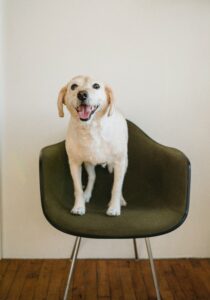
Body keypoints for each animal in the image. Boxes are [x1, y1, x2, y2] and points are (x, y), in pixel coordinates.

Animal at [56, 75, 128, 216]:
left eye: (96, 86)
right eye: (73, 86)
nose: (82, 94)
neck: (90, 129)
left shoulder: (120, 162)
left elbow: (116, 188)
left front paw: (114, 207)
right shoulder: (74, 163)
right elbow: (78, 188)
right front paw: (79, 206)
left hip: (124, 163)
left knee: (120, 182)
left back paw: (121, 199)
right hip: (88, 163)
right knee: (92, 177)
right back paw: (87, 194)